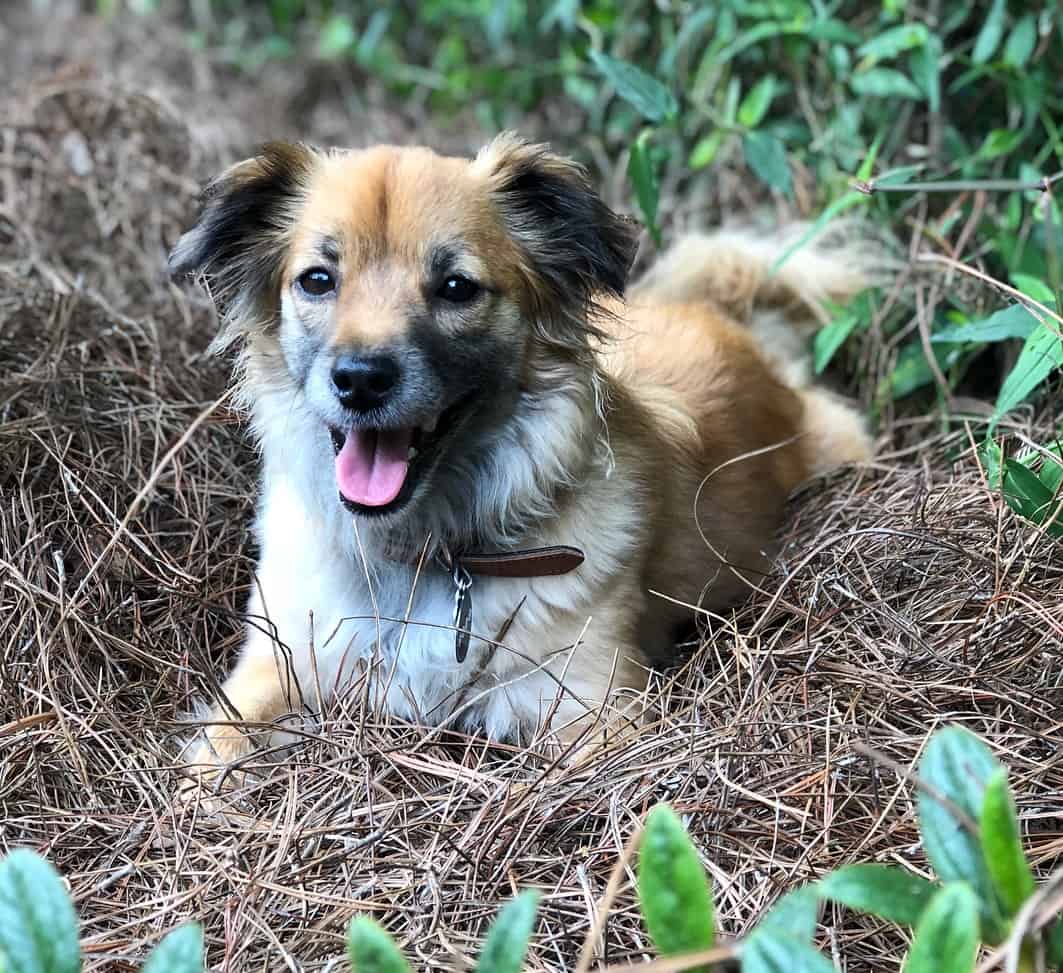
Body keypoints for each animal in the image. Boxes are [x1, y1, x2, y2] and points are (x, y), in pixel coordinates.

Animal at [172, 132, 871, 778]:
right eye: (318, 280)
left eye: (456, 287)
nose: (361, 380)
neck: (428, 552)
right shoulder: (280, 662)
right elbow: (215, 752)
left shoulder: (594, 710)